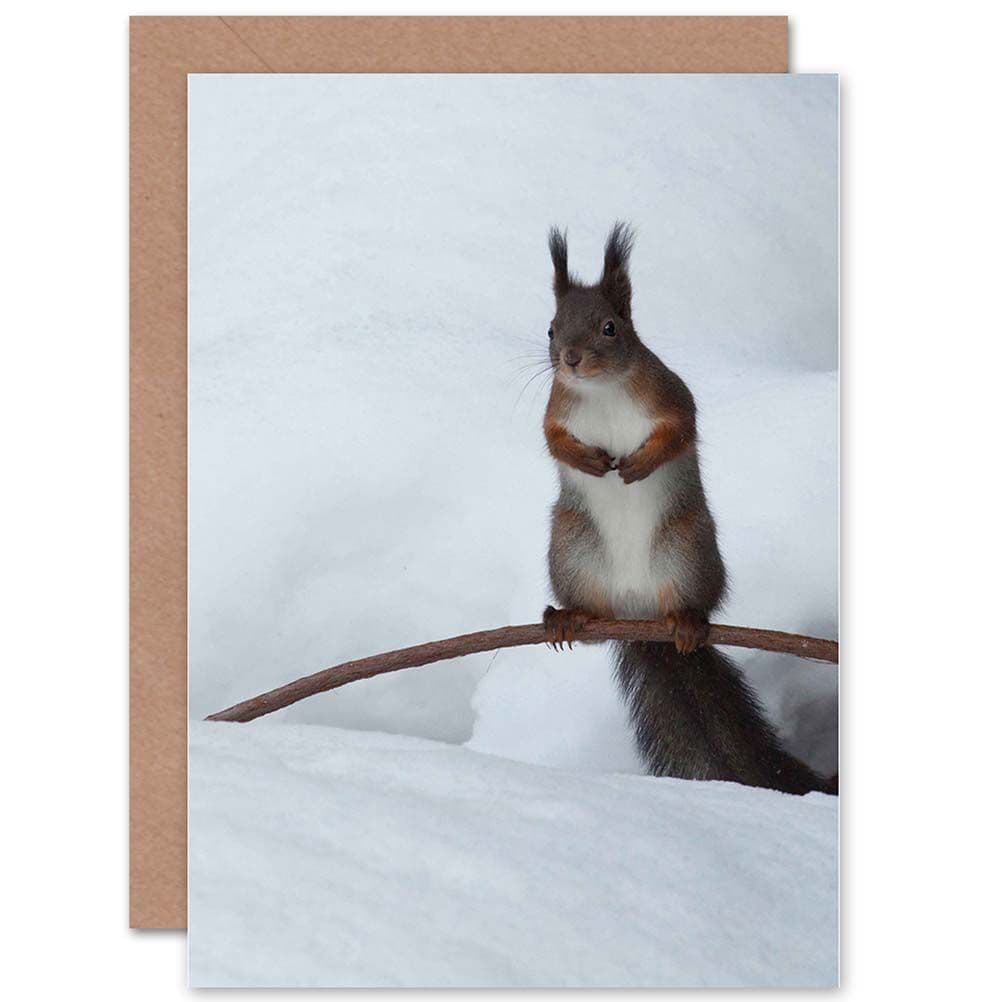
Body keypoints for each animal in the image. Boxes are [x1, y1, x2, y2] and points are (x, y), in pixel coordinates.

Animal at [541, 223, 835, 796]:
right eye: (550, 330)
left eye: (610, 328)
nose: (570, 359)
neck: (602, 390)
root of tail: (638, 616)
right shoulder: (555, 407)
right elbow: (552, 439)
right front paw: (586, 460)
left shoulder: (669, 393)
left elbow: (681, 427)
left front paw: (638, 465)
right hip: (571, 550)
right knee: (591, 622)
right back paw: (569, 618)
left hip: (687, 546)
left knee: (693, 601)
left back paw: (688, 622)